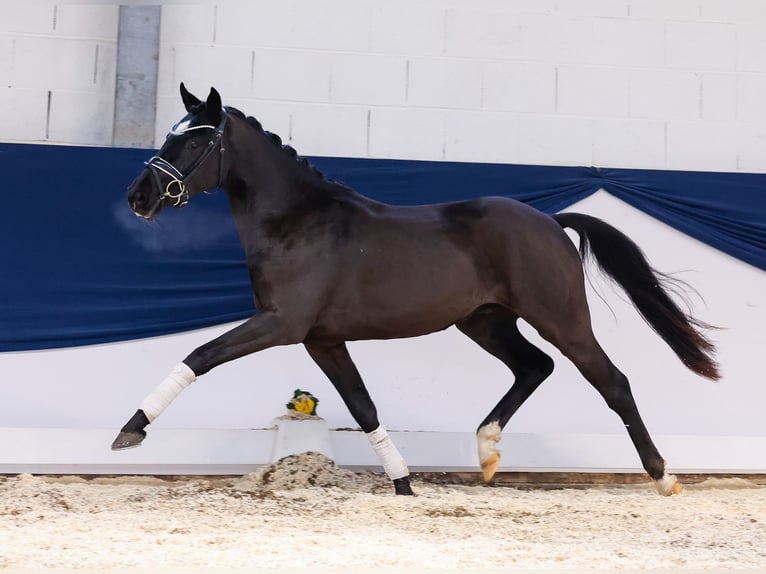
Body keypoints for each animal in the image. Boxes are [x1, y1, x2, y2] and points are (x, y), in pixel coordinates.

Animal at [114, 83, 720, 498]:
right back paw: (487, 452)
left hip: (561, 318)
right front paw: (404, 484)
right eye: (170, 134)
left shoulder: (282, 324)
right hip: (485, 321)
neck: (298, 222)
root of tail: (551, 221)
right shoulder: (321, 339)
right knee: (534, 367)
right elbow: (363, 406)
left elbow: (199, 355)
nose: (138, 196)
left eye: (196, 139)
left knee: (612, 382)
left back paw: (664, 478)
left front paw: (129, 432)